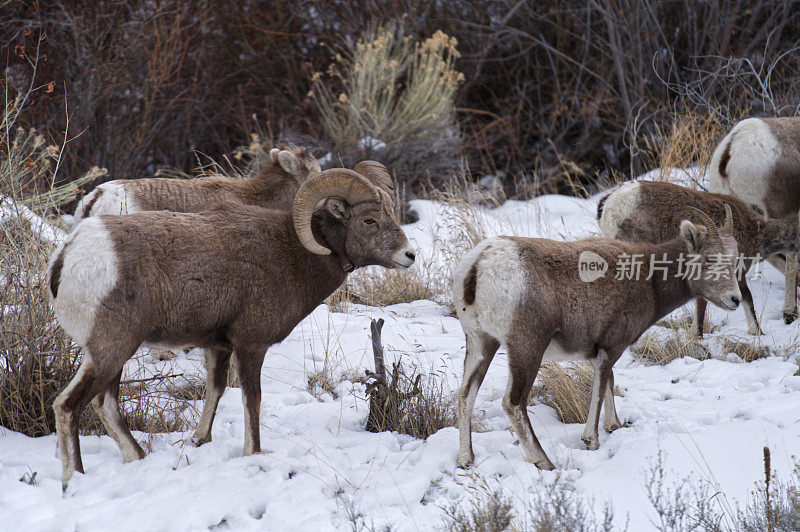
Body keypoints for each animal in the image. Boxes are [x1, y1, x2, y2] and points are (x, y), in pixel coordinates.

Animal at [49, 163, 416, 490]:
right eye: (369, 220)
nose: (409, 255)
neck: (294, 254)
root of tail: (70, 255)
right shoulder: (251, 345)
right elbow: (252, 400)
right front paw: (253, 453)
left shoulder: (218, 346)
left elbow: (216, 390)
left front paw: (200, 440)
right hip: (111, 350)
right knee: (69, 406)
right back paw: (73, 480)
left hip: (114, 354)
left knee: (105, 405)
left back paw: (136, 458)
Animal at [454, 209, 740, 470]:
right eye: (710, 258)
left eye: (735, 260)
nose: (735, 299)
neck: (649, 280)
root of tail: (479, 264)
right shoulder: (610, 348)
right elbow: (602, 386)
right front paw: (591, 440)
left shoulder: (601, 350)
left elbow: (610, 382)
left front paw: (615, 426)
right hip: (527, 347)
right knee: (513, 402)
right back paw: (544, 462)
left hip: (481, 341)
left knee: (466, 393)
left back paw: (466, 459)